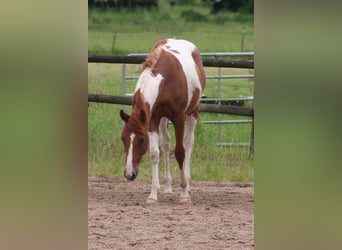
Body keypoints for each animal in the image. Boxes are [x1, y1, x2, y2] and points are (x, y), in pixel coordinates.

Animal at [119, 39, 206, 203]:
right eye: (123, 138)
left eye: (141, 140)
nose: (129, 174)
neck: (165, 80)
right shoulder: (152, 118)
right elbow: (154, 153)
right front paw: (153, 194)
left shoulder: (179, 117)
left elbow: (180, 152)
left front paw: (184, 193)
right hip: (164, 119)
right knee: (166, 144)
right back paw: (167, 187)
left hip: (193, 112)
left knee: (188, 143)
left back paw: (187, 183)